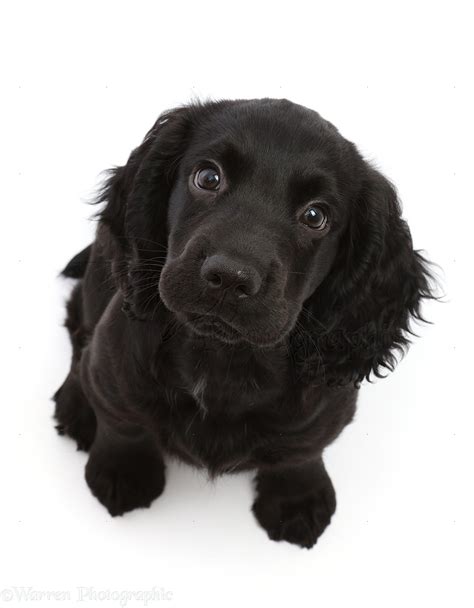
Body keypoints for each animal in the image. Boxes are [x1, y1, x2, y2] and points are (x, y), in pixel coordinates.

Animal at [53, 98, 436, 548]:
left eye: (315, 216)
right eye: (208, 177)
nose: (230, 277)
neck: (221, 358)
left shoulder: (328, 407)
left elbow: (302, 451)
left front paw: (297, 499)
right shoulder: (113, 363)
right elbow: (122, 421)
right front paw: (122, 471)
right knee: (78, 332)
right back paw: (75, 405)